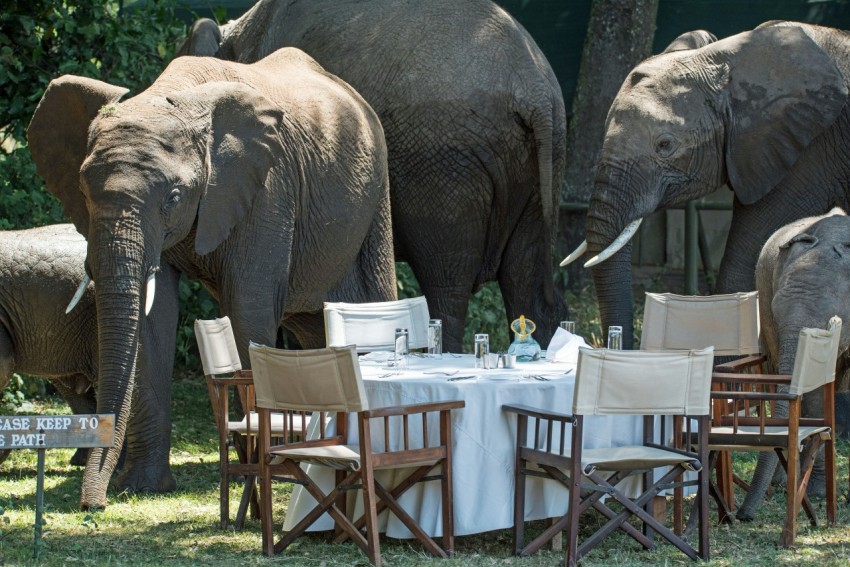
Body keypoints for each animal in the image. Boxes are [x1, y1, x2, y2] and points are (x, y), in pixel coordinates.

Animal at [25, 47, 394, 510]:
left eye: (173, 197)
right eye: (83, 193)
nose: (94, 505)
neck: (172, 97)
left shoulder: (268, 188)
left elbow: (247, 307)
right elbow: (154, 317)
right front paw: (142, 486)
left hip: (376, 195)